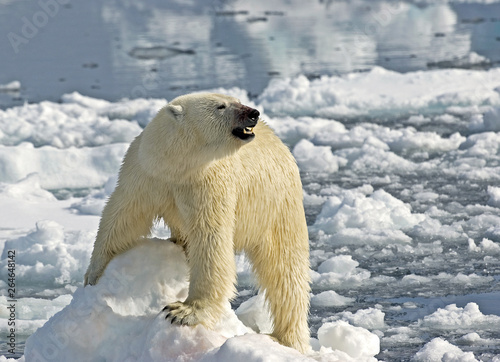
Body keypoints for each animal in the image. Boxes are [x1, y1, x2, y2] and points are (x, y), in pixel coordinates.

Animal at [85, 92, 310, 352]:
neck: (176, 166)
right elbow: (122, 217)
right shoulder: (145, 175)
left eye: (235, 100)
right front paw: (93, 275)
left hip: (276, 205)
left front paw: (183, 311)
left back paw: (287, 338)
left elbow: (210, 240)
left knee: (284, 269)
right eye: (221, 106)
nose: (254, 113)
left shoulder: (207, 183)